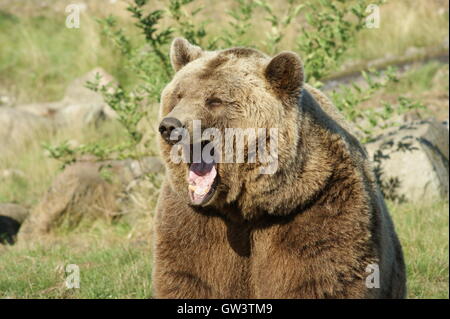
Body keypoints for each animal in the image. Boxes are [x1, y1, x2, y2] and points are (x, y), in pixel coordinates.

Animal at [152, 37, 408, 300]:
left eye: (215, 100)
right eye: (178, 95)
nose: (169, 126)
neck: (246, 207)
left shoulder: (317, 202)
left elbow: (322, 276)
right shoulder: (194, 218)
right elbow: (191, 278)